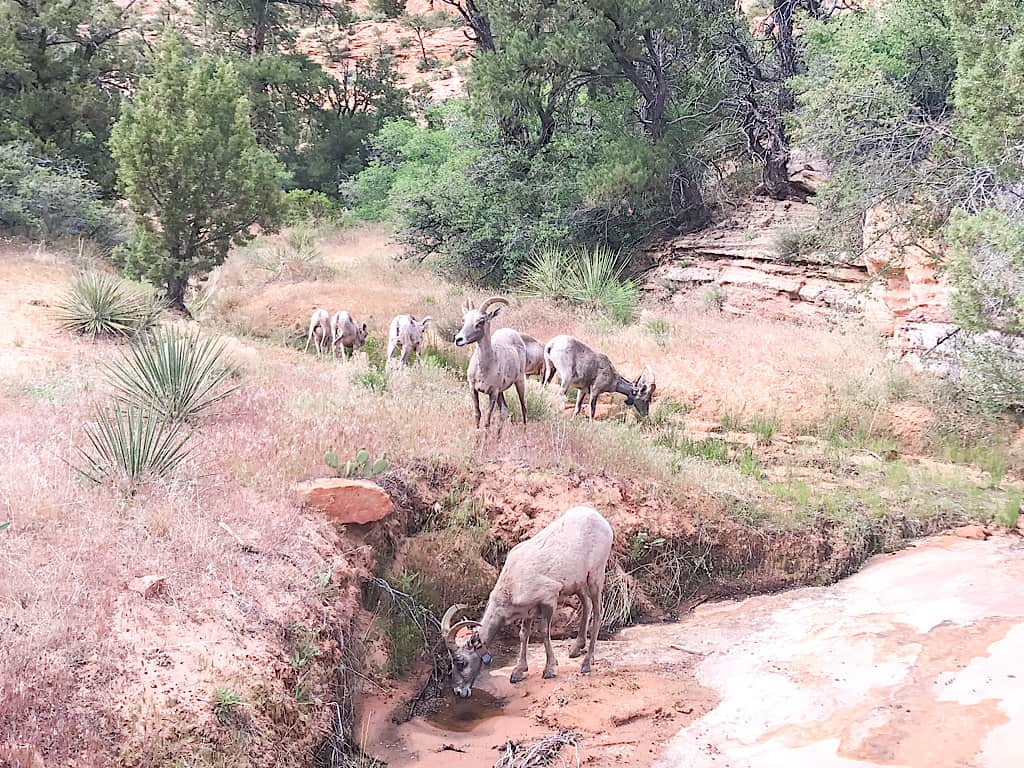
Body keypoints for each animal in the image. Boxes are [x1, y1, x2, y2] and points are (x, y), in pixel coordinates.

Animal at [442, 507, 614, 700]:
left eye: (460, 662)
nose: (459, 692)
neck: (512, 584)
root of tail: (601, 520)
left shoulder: (549, 599)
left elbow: (544, 632)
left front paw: (549, 670)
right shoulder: (529, 611)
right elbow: (524, 634)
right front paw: (518, 672)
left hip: (595, 576)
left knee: (598, 612)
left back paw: (586, 664)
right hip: (579, 583)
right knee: (587, 606)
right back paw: (575, 650)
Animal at [460, 296, 532, 434]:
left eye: (481, 321)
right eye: (464, 320)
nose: (458, 339)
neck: (484, 369)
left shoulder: (493, 392)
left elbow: (487, 421)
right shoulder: (473, 389)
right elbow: (477, 414)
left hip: (519, 382)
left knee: (523, 407)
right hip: (501, 392)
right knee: (504, 410)